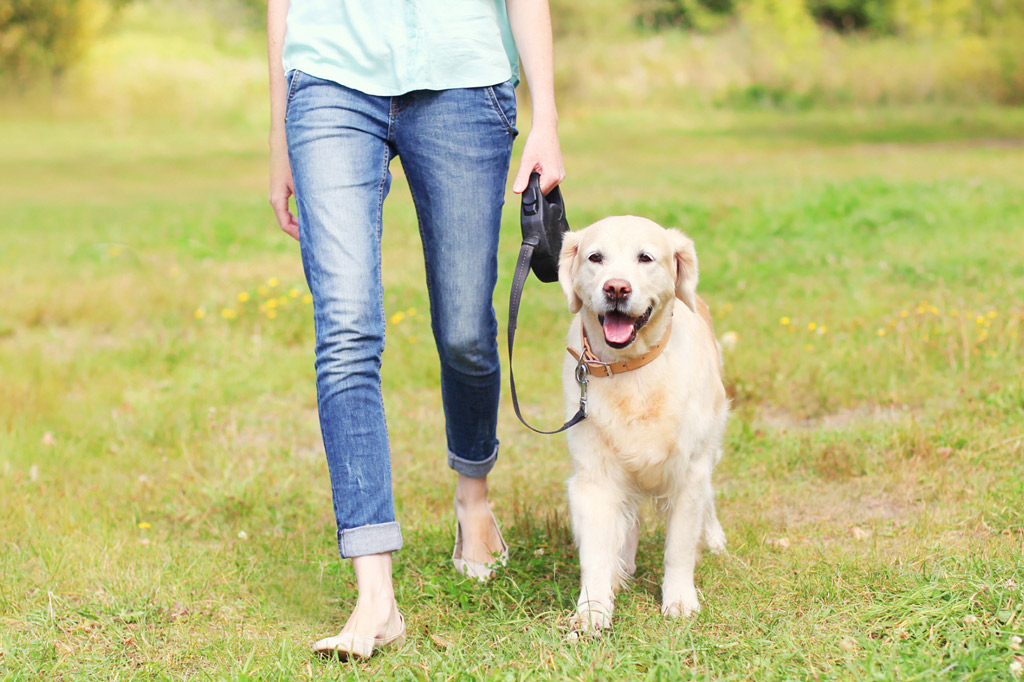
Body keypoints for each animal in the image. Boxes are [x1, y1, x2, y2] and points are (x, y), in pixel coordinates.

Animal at [561, 215, 729, 630]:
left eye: (645, 258)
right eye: (595, 257)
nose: (616, 288)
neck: (632, 369)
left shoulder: (690, 471)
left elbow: (679, 548)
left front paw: (680, 600)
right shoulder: (593, 477)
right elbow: (595, 552)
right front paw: (593, 608)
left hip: (712, 445)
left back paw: (714, 538)